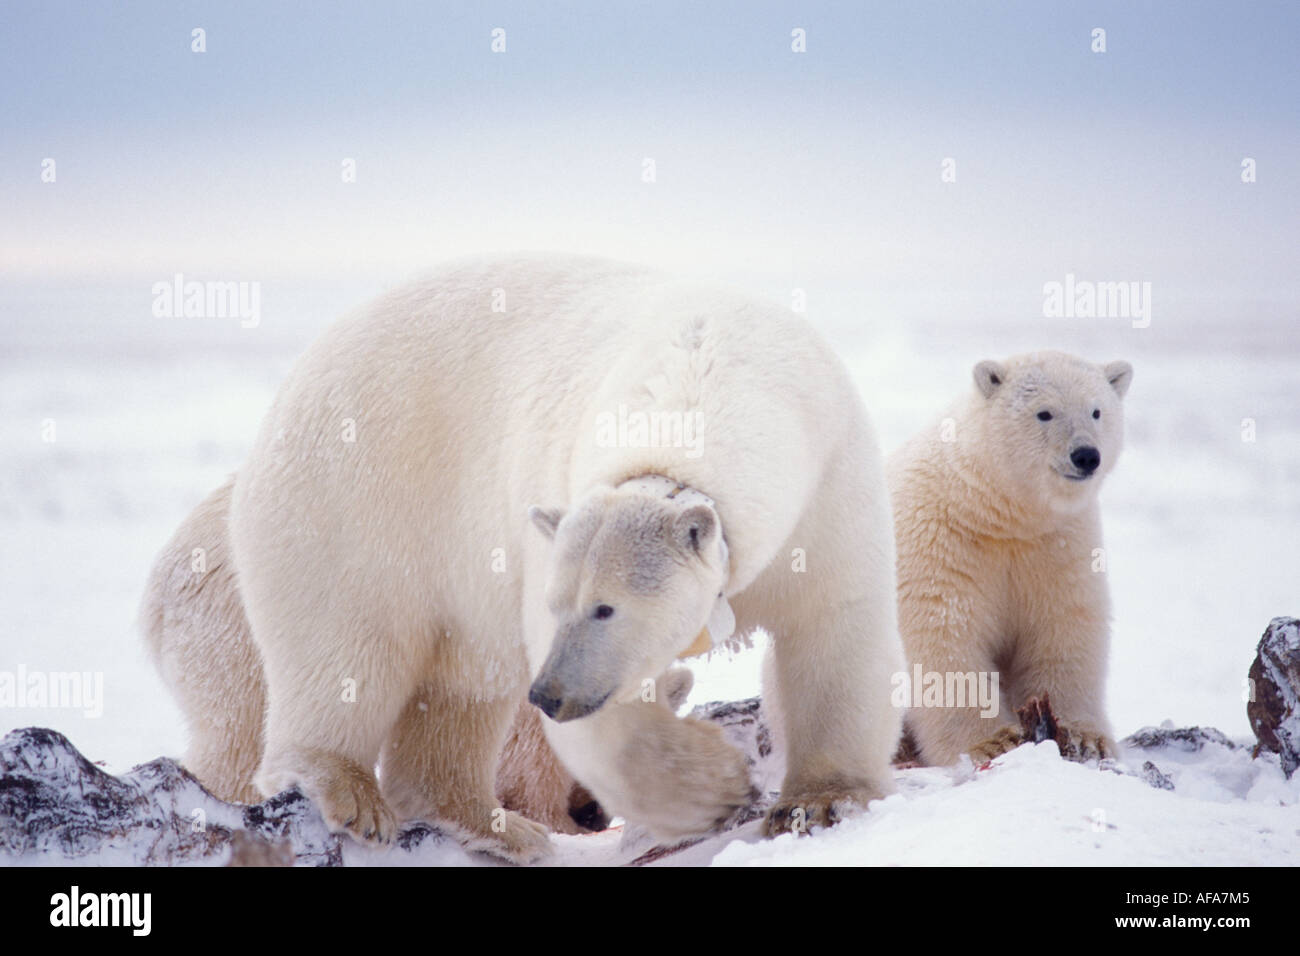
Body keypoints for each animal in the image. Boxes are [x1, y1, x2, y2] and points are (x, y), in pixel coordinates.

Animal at [157, 256, 899, 858]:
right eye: (558, 603)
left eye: (606, 608)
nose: (551, 693)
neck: (709, 369)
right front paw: (714, 786)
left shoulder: (827, 480)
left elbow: (836, 624)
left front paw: (819, 801)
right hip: (355, 493)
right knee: (345, 641)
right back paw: (349, 794)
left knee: (459, 686)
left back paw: (492, 825)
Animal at [889, 356, 1133, 764]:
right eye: (1044, 412)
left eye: (1097, 411)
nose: (1086, 455)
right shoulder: (941, 541)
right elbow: (946, 637)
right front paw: (992, 741)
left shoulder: (1058, 544)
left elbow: (1065, 628)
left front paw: (1084, 738)